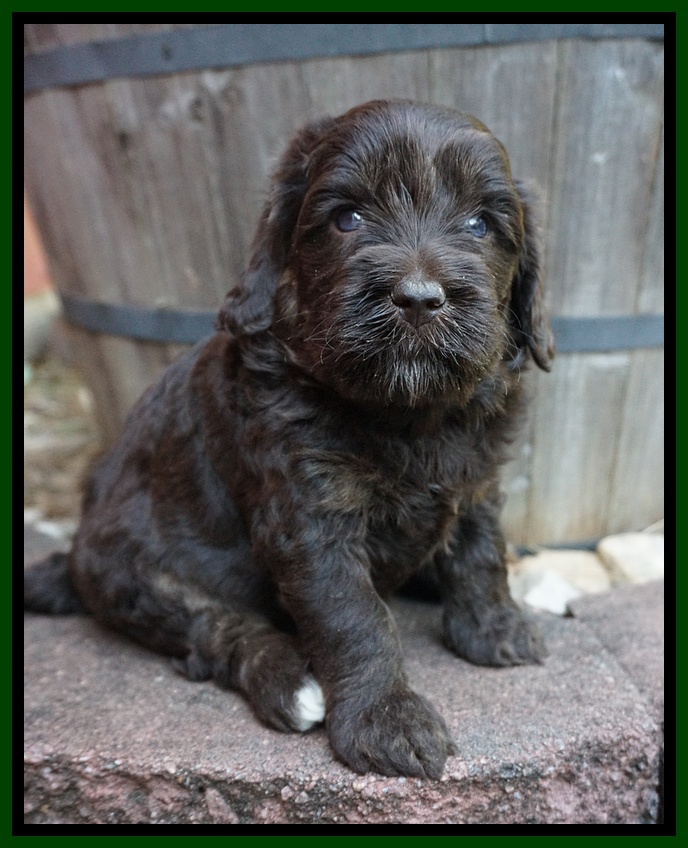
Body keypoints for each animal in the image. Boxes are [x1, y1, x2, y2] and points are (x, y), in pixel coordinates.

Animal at [25, 100, 554, 779]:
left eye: (479, 224)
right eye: (348, 218)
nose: (417, 299)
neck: (406, 413)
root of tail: (76, 548)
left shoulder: (477, 477)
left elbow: (482, 551)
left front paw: (493, 627)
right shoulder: (308, 513)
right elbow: (351, 614)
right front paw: (385, 718)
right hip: (135, 571)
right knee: (217, 633)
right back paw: (288, 682)